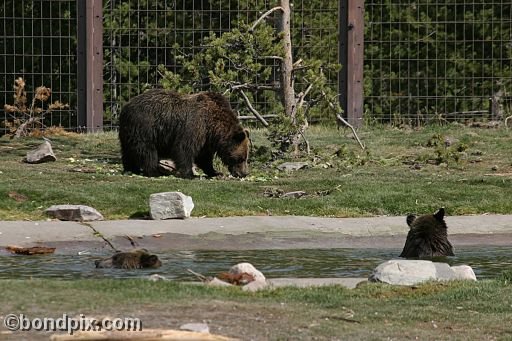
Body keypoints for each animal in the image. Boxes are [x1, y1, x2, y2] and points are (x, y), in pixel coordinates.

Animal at [118, 87, 250, 178]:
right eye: (241, 158)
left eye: (245, 157)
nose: (244, 173)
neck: (213, 125)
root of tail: (125, 107)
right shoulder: (195, 125)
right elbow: (184, 148)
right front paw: (189, 174)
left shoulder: (206, 138)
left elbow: (204, 157)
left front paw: (215, 172)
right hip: (145, 127)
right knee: (147, 150)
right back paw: (154, 171)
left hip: (128, 132)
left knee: (128, 150)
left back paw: (131, 169)